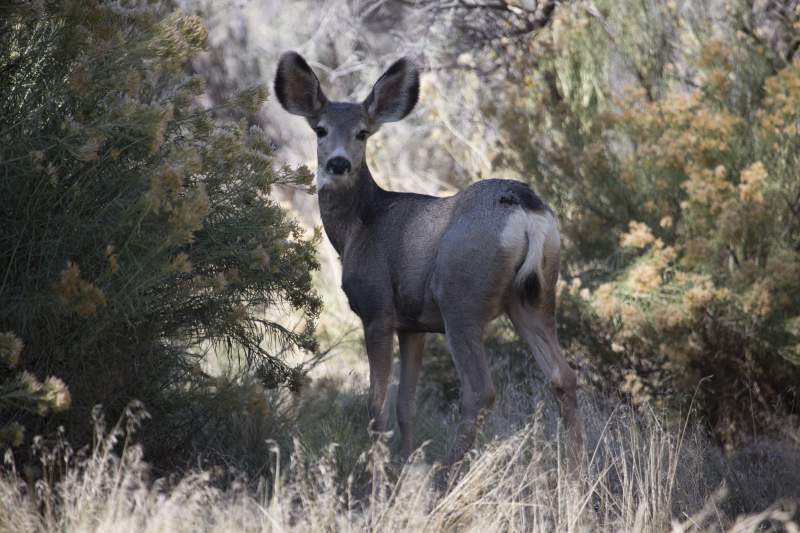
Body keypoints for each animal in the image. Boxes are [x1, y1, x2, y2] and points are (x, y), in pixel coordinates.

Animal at [274, 52, 580, 470]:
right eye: (320, 129)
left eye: (362, 133)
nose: (337, 164)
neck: (359, 226)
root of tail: (528, 210)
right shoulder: (412, 326)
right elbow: (406, 405)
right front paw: (405, 466)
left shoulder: (377, 310)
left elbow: (376, 406)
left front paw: (380, 475)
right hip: (535, 297)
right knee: (563, 377)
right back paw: (577, 476)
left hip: (460, 298)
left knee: (480, 391)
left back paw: (446, 475)